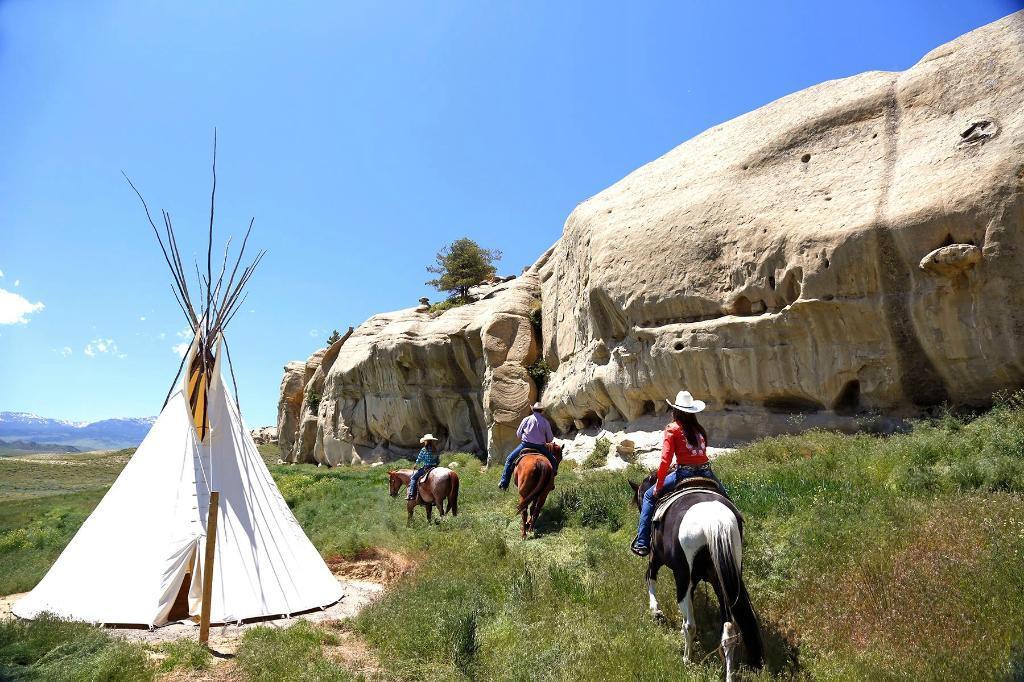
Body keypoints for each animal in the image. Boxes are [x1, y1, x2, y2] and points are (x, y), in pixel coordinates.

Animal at [626, 473, 765, 679]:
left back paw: (686, 659)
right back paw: (730, 674)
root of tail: (715, 521)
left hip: (683, 577)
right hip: (725, 581)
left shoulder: (656, 557)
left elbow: (650, 577)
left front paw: (656, 612)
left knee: (690, 624)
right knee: (729, 631)